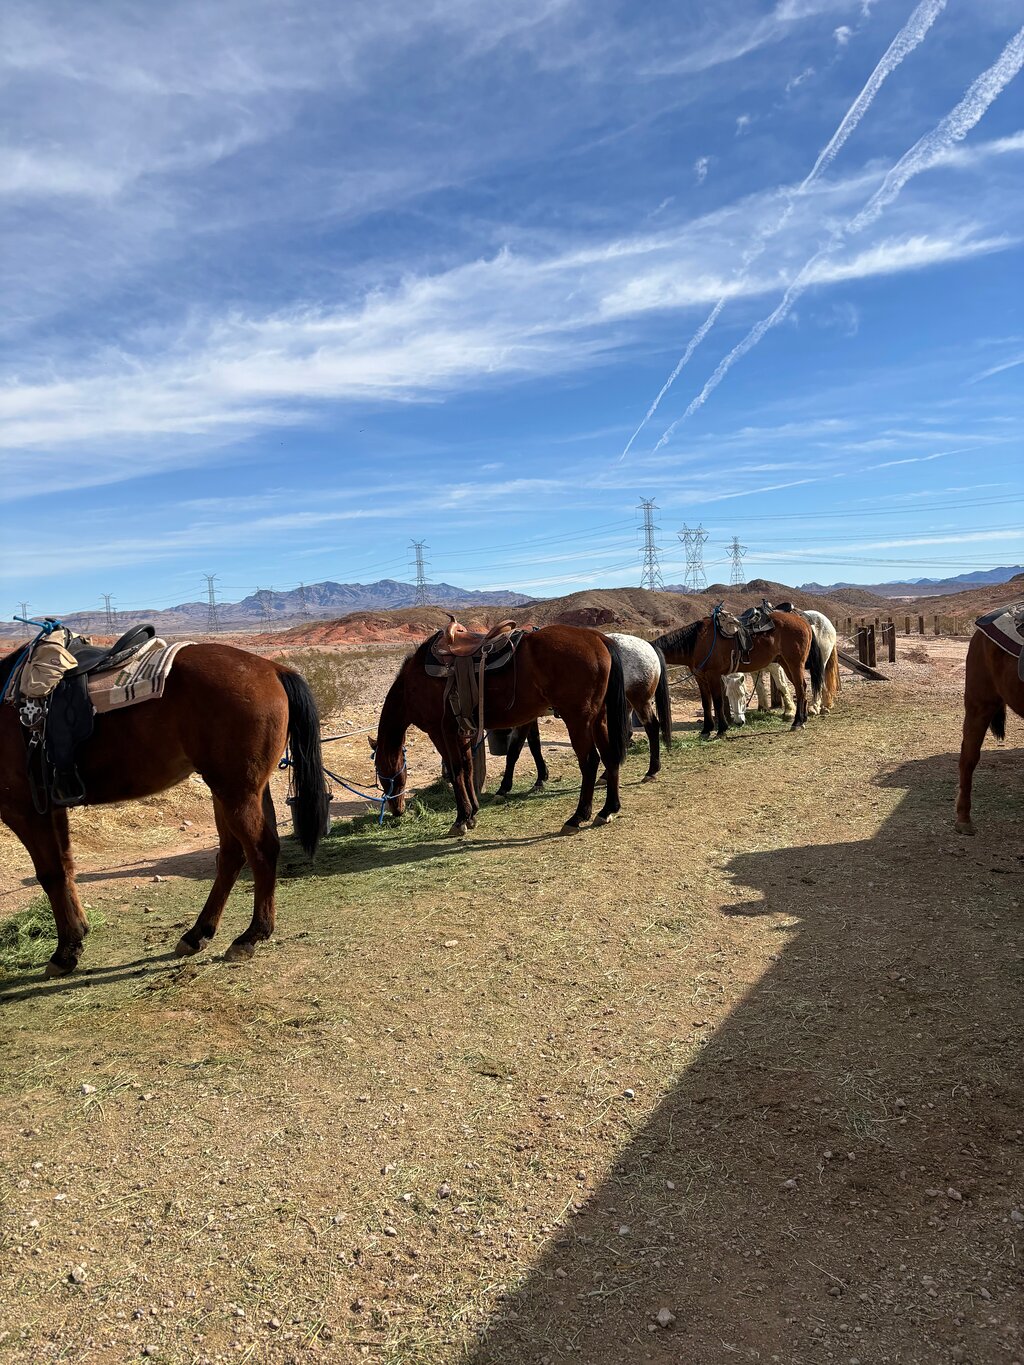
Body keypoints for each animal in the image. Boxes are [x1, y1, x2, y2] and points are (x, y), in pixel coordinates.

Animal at [0, 642, 330, 977]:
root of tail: (274, 669)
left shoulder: (24, 810)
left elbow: (51, 874)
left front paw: (65, 952)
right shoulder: (53, 808)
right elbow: (66, 868)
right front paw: (78, 932)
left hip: (236, 793)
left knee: (261, 850)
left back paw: (251, 935)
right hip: (237, 792)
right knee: (231, 855)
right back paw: (198, 934)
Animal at [370, 625, 630, 836]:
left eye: (384, 777)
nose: (397, 810)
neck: (411, 685)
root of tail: (597, 638)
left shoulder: (440, 732)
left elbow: (456, 770)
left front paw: (461, 819)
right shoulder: (462, 731)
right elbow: (468, 767)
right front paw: (473, 812)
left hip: (578, 719)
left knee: (590, 761)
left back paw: (577, 817)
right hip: (598, 719)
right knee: (610, 757)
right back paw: (607, 810)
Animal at [655, 608, 824, 738]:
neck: (697, 641)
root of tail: (803, 621)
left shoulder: (713, 675)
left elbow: (717, 701)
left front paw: (721, 730)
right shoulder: (700, 678)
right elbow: (706, 703)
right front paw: (706, 730)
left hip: (795, 664)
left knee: (800, 689)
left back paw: (797, 722)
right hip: (786, 664)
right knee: (802, 687)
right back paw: (803, 719)